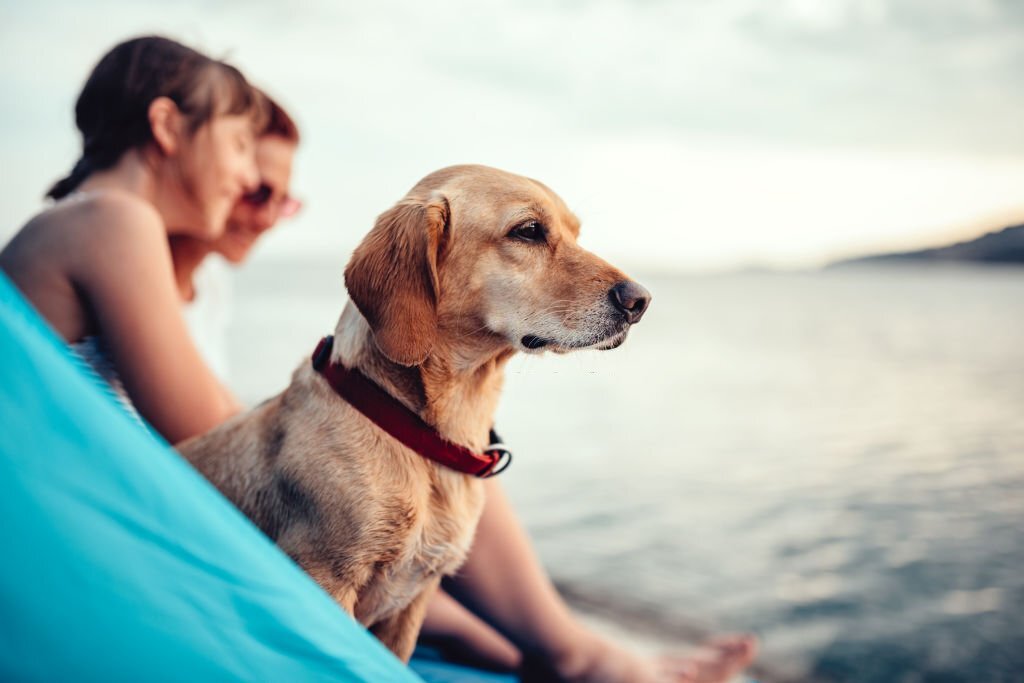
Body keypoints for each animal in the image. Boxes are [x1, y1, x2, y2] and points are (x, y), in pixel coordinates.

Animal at [178, 162, 647, 659]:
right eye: (529, 231)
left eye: (576, 233)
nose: (640, 300)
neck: (422, 436)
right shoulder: (325, 579)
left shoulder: (411, 604)